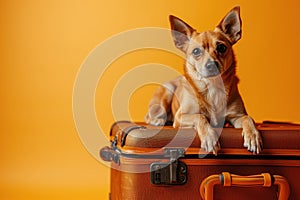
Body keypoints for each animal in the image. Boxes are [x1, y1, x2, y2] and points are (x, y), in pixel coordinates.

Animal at [144, 6, 262, 155]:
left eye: (221, 47)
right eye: (196, 51)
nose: (211, 64)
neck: (212, 87)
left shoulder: (236, 116)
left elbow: (248, 118)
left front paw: (253, 135)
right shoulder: (182, 116)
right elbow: (201, 117)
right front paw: (209, 137)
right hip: (166, 95)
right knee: (149, 116)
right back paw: (158, 121)